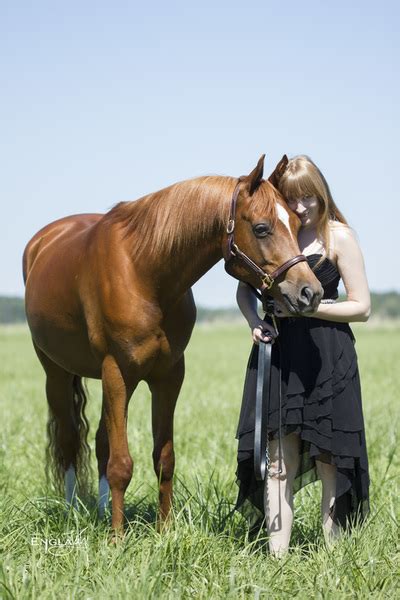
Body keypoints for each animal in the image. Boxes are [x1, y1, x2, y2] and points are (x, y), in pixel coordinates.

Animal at [22, 156, 322, 536]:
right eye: (261, 228)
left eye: (297, 224)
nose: (310, 292)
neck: (144, 271)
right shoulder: (118, 373)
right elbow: (121, 463)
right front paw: (117, 539)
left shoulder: (168, 376)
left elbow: (163, 458)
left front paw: (164, 531)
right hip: (57, 374)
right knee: (69, 441)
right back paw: (74, 511)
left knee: (100, 442)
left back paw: (101, 512)